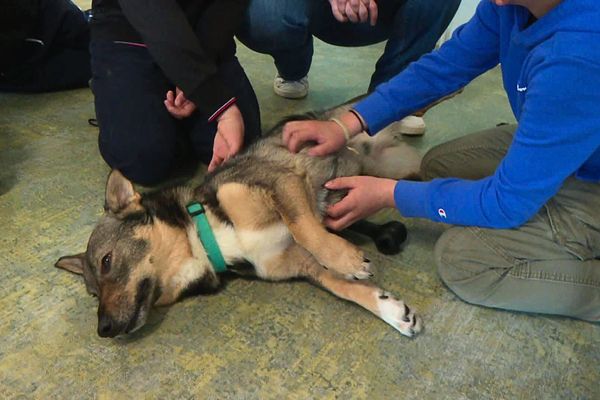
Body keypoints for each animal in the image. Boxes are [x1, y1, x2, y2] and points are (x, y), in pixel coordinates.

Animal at [55, 102, 422, 338]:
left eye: (107, 261)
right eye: (92, 294)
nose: (103, 330)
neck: (209, 238)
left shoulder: (281, 181)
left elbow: (304, 227)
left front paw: (345, 258)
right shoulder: (302, 264)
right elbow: (342, 287)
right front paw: (392, 311)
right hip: (394, 167)